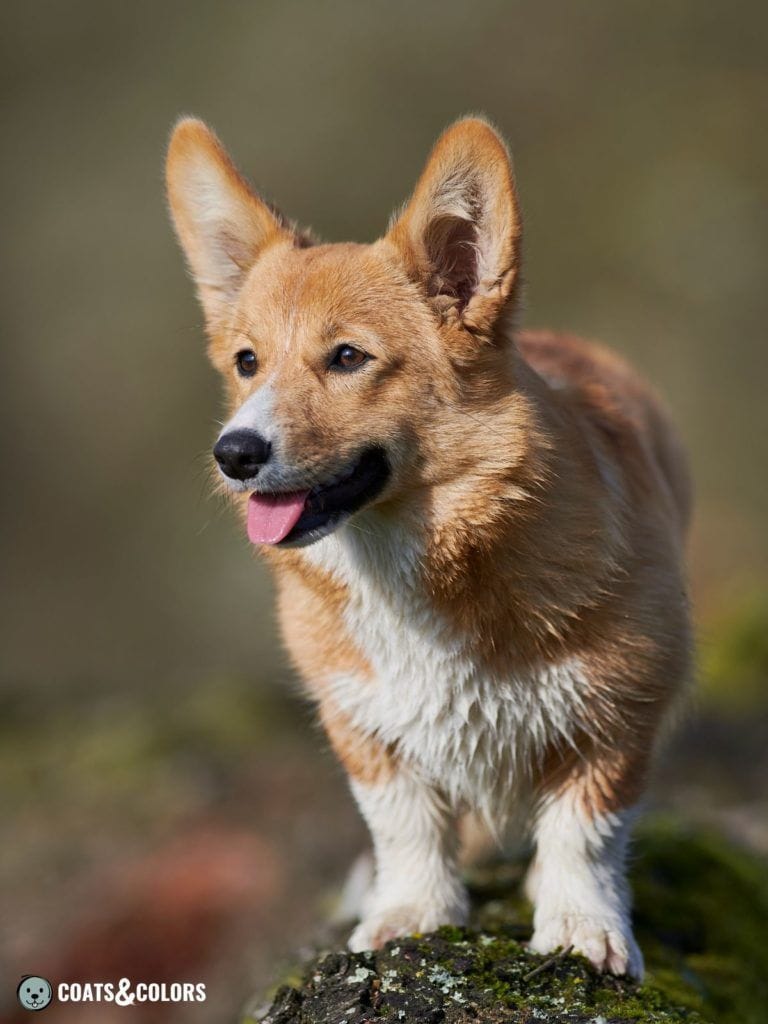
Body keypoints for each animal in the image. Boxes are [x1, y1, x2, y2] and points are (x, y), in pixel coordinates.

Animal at [166, 116, 692, 978]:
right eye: (247, 363)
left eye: (348, 357)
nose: (233, 454)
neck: (414, 560)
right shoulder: (365, 726)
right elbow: (405, 826)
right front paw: (411, 915)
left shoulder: (618, 717)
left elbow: (584, 833)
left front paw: (580, 931)